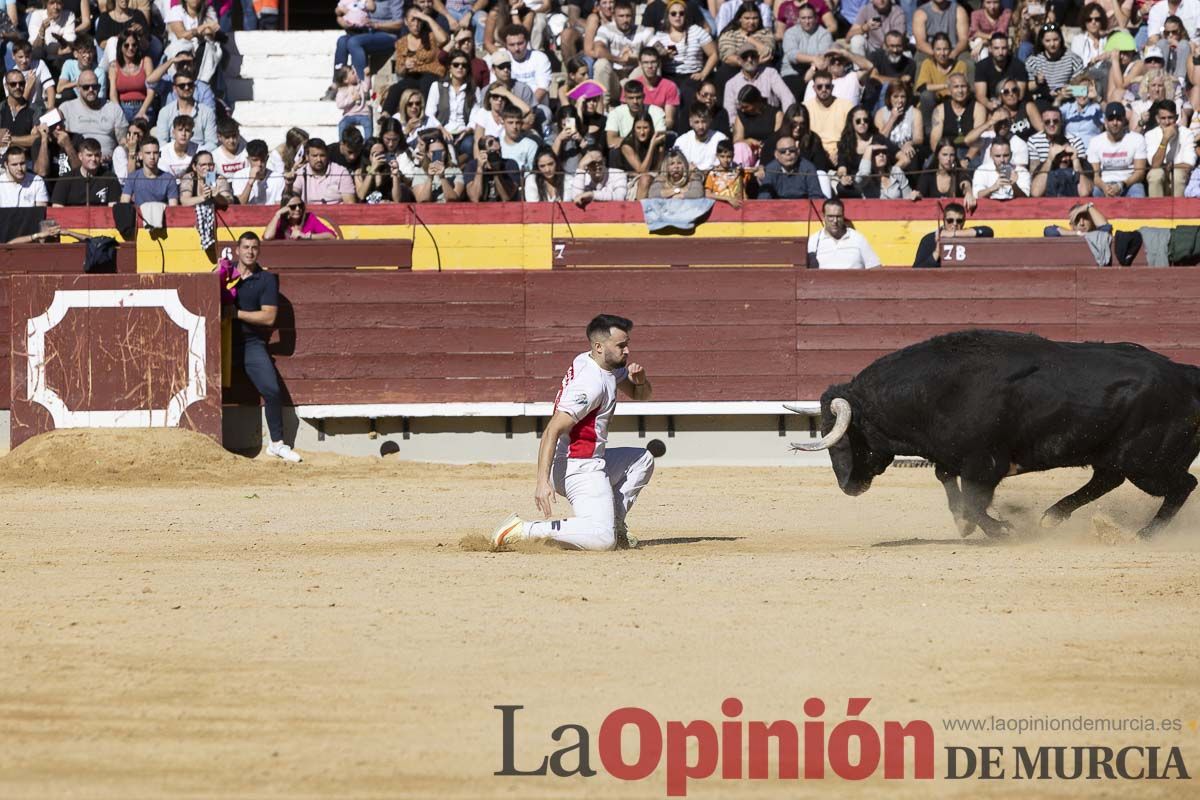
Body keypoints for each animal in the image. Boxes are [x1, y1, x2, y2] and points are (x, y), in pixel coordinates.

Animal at [792, 328, 1200, 542]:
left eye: (843, 438)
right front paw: (968, 524)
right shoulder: (955, 459)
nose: (848, 486)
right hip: (1118, 456)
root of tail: (1185, 374)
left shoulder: (984, 464)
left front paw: (1001, 529)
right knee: (1108, 479)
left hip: (1147, 462)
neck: (930, 392)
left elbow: (974, 500)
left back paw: (1146, 534)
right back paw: (1052, 517)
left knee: (1183, 484)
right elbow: (947, 481)